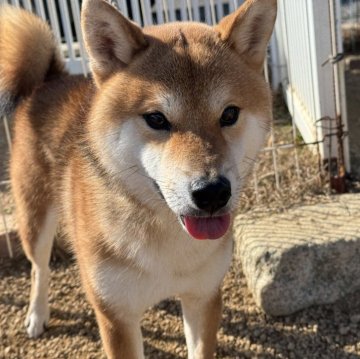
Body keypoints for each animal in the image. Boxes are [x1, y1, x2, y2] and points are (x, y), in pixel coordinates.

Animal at [0, 0, 278, 358]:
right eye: (156, 119)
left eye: (229, 114)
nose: (212, 192)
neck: (169, 241)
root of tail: (49, 80)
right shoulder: (115, 316)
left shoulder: (203, 297)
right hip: (35, 219)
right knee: (39, 267)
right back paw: (37, 315)